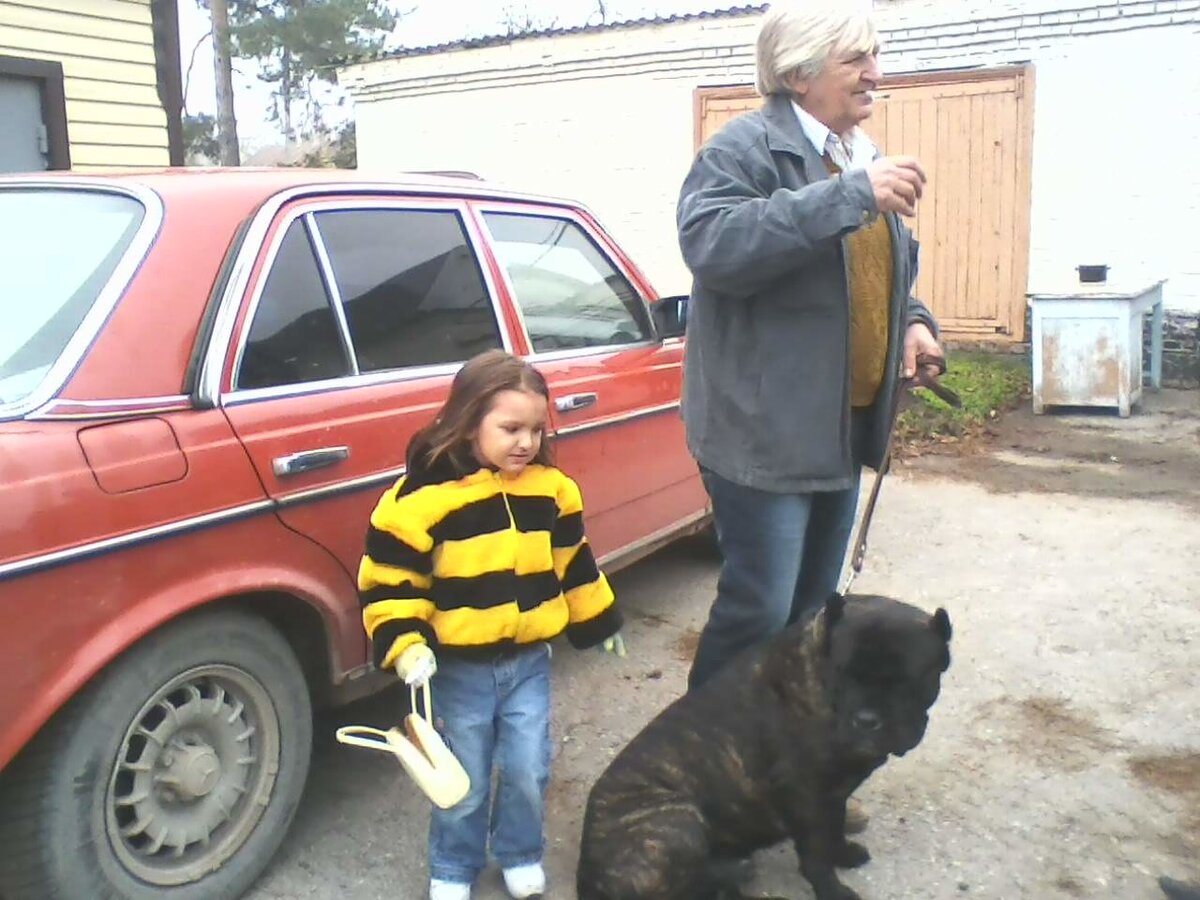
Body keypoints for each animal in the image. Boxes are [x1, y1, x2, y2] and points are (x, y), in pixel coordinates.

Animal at [576, 595, 950, 897]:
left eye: (906, 681)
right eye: (843, 674)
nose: (867, 719)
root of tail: (587, 874)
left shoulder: (832, 794)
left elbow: (834, 830)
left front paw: (844, 854)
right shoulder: (806, 795)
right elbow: (816, 855)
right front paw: (834, 891)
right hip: (677, 819)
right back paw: (733, 871)